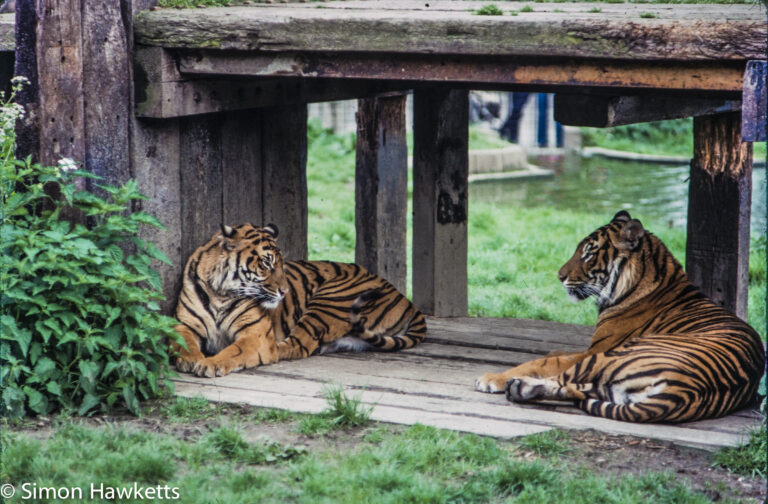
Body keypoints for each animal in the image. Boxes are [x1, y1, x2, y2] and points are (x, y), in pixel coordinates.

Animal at [172, 222, 426, 376]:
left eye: (282, 265)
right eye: (266, 264)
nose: (284, 291)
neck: (221, 293)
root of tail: (407, 301)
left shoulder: (255, 335)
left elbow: (232, 351)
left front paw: (209, 363)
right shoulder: (184, 325)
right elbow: (182, 343)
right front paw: (190, 359)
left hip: (330, 300)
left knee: (297, 345)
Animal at [476, 211, 764, 424]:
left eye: (588, 253)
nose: (559, 276)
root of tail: (684, 391)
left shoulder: (595, 349)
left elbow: (545, 361)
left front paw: (491, 378)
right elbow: (553, 354)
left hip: (610, 356)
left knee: (567, 379)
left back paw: (514, 384)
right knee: (575, 387)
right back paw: (520, 389)